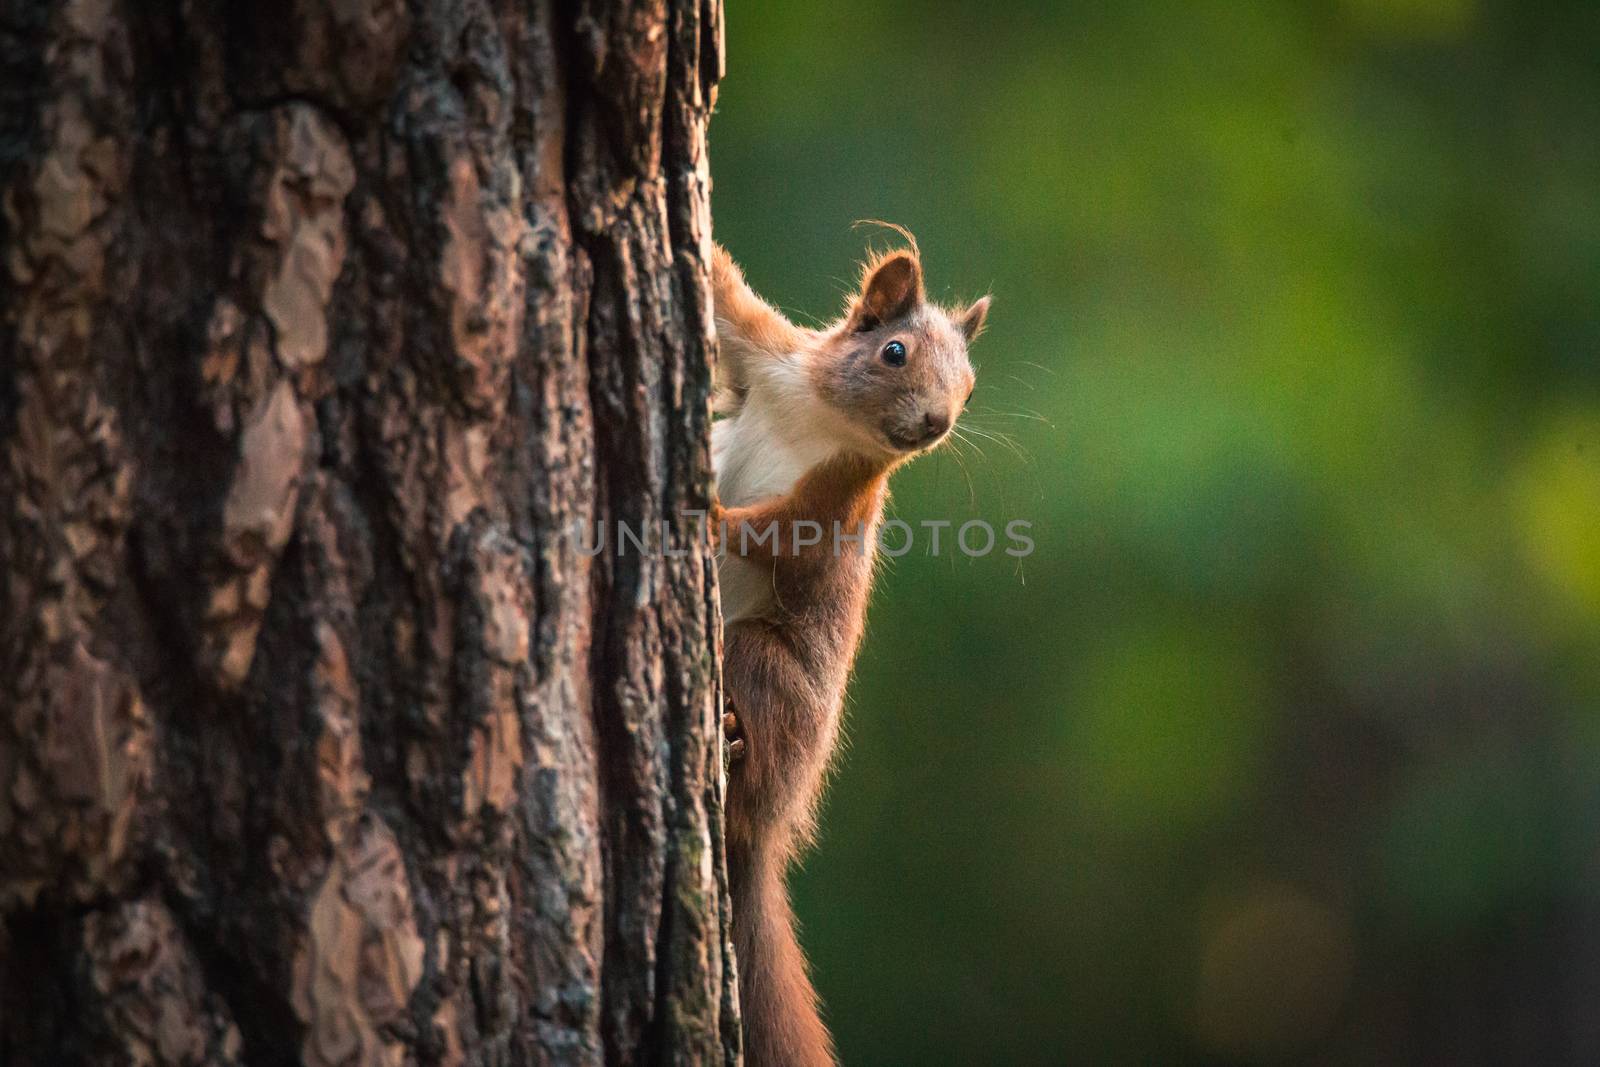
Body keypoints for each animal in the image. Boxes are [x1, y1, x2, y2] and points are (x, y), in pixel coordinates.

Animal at [710, 235, 985, 1067]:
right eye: (894, 350)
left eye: (970, 387)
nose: (936, 422)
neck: (819, 414)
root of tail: (763, 833)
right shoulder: (763, 356)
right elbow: (726, 298)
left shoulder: (835, 499)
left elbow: (773, 537)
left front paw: (704, 514)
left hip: (763, 665)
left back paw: (734, 743)